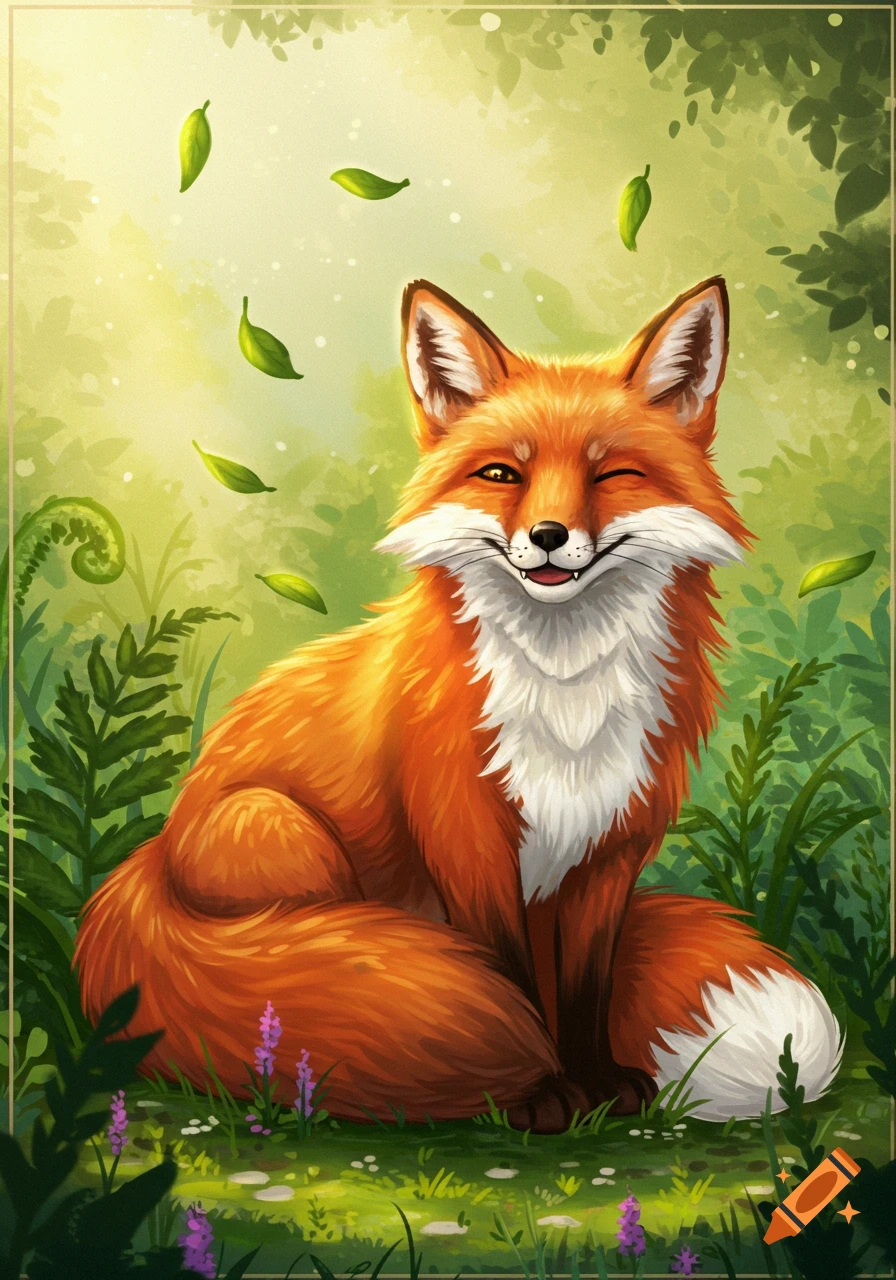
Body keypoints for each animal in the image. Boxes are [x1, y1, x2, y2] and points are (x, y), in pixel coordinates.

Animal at [76, 276, 842, 1133]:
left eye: (612, 476)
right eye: (503, 475)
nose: (549, 535)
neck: (566, 697)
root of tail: (147, 859)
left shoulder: (611, 844)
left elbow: (584, 987)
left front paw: (598, 1083)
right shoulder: (465, 834)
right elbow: (507, 977)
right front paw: (540, 1094)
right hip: (281, 831)